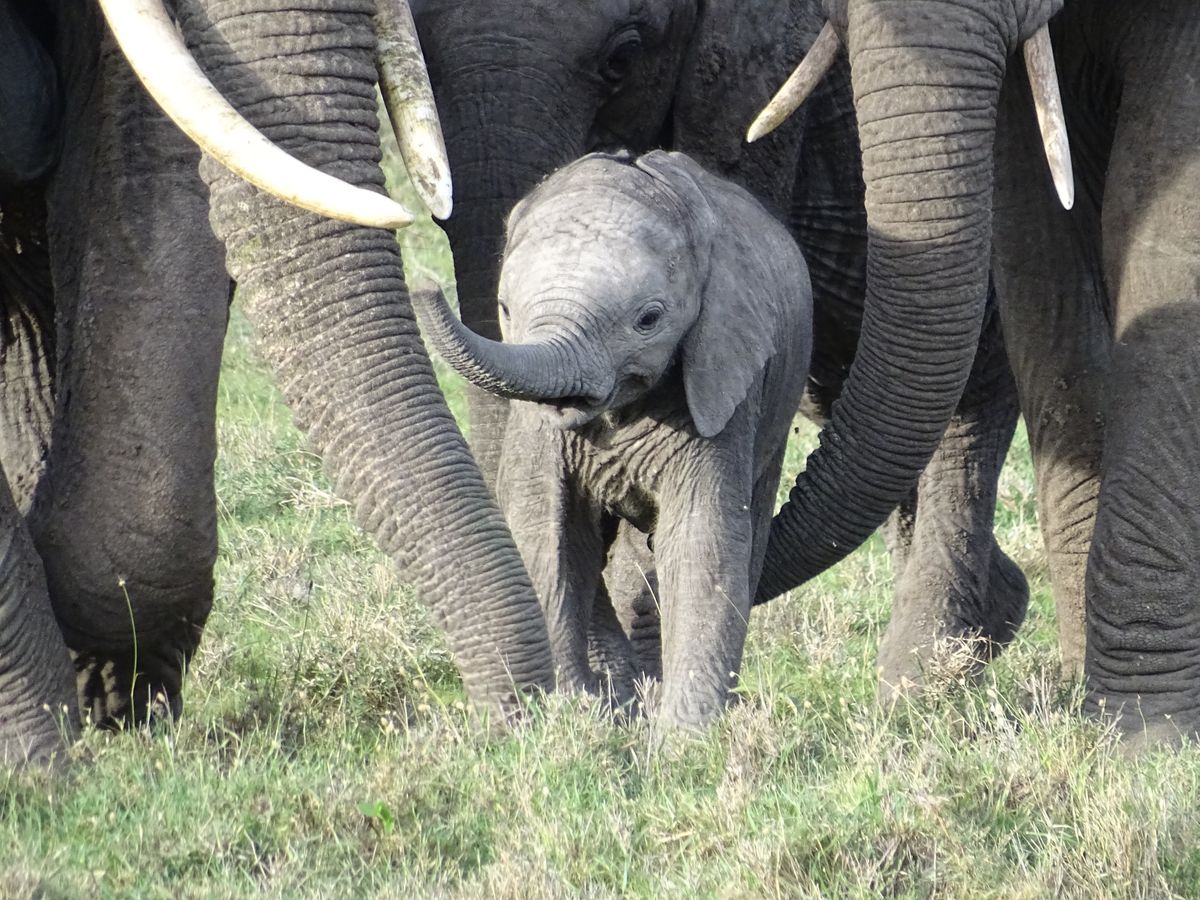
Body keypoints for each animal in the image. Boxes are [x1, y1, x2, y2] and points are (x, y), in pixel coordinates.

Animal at [415, 150, 813, 729]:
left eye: (649, 319)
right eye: (506, 311)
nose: (424, 287)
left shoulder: (722, 378)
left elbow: (701, 539)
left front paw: (684, 739)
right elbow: (549, 530)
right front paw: (574, 716)